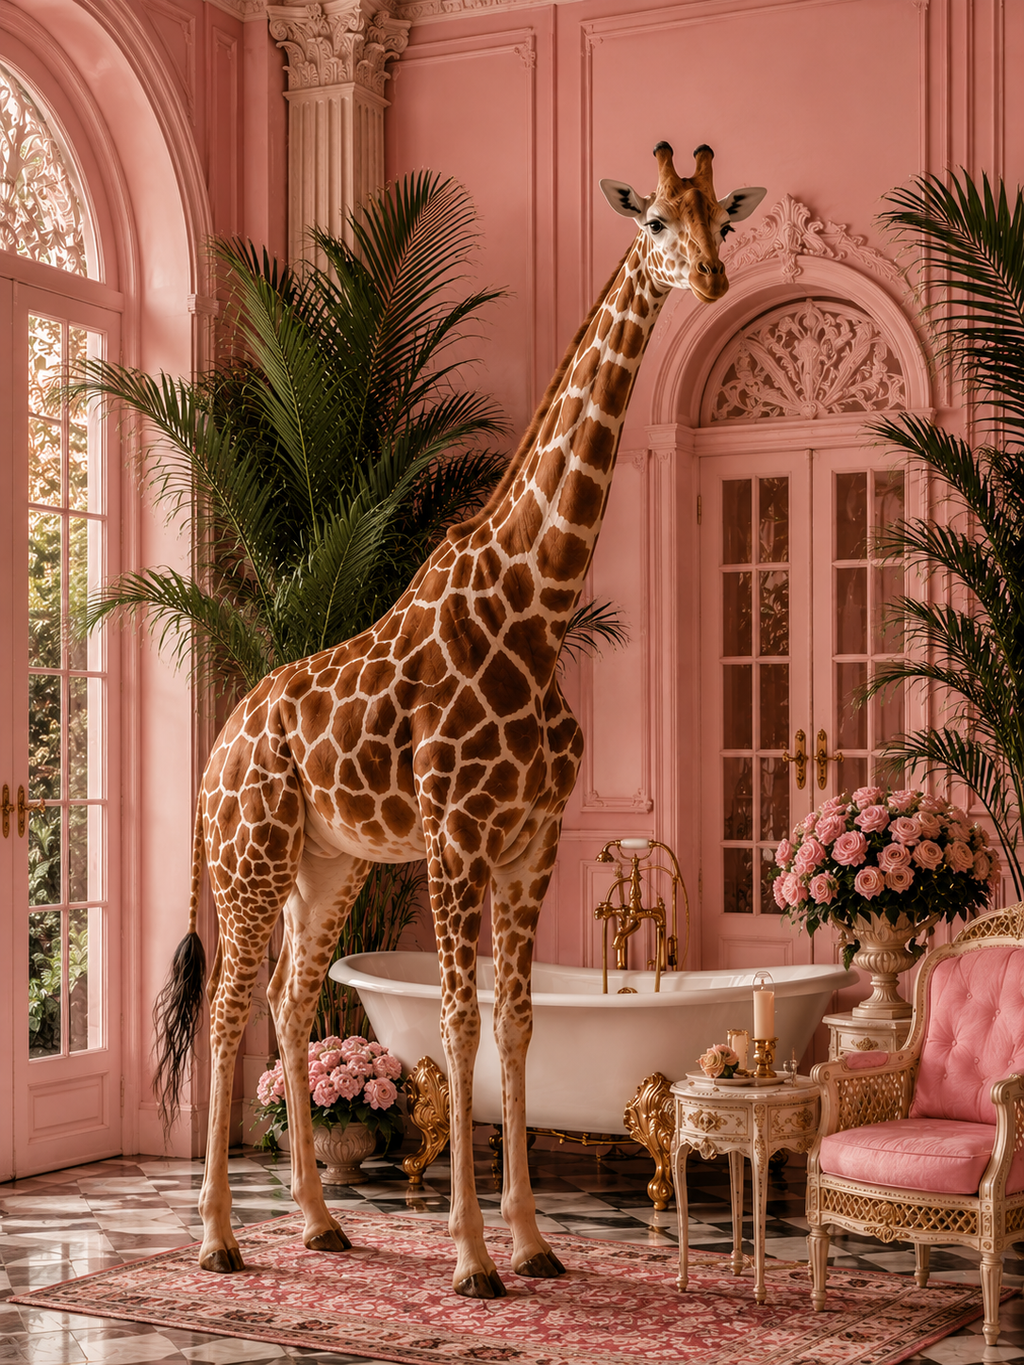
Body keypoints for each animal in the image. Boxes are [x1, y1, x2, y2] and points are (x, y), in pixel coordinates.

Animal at [154, 141, 765, 1298]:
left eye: (725, 220)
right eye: (655, 221)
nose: (711, 281)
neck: (537, 606)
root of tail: (217, 743)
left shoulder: (530, 844)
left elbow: (519, 1026)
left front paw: (530, 1242)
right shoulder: (456, 838)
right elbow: (457, 1021)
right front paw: (472, 1256)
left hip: (329, 863)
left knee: (291, 1003)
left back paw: (316, 1222)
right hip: (250, 855)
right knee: (228, 1007)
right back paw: (217, 1238)